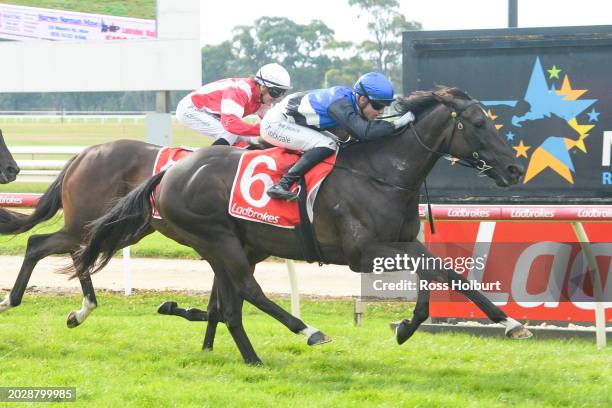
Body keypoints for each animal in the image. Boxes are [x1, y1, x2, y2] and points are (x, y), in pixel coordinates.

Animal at [70, 87, 532, 364]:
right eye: (479, 123)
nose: (514, 168)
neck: (382, 172)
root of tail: (170, 171)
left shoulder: (400, 241)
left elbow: (440, 272)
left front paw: (416, 324)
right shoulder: (362, 253)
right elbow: (437, 270)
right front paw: (507, 322)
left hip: (230, 244)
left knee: (230, 303)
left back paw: (250, 357)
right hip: (217, 239)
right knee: (247, 292)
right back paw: (307, 331)